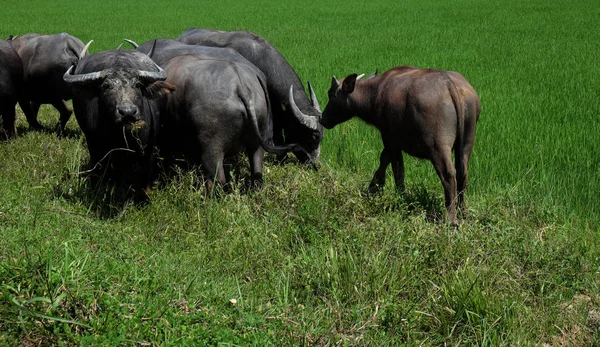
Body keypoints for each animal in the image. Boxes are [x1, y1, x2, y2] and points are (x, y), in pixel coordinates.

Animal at [322, 66, 480, 227]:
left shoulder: (390, 140)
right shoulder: (391, 141)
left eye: (331, 94)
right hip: (467, 141)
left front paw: (399, 197)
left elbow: (397, 170)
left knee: (448, 174)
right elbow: (384, 160)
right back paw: (462, 210)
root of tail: (449, 84)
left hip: (438, 145)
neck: (376, 93)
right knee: (462, 172)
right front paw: (374, 187)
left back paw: (451, 218)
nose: (322, 119)